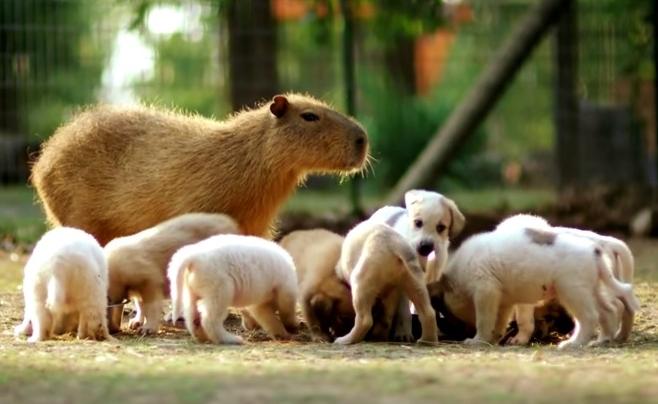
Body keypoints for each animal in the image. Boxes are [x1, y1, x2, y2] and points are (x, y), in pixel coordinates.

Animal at [101, 211, 237, 334]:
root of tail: (232, 226)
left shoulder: (150, 281)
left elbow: (150, 306)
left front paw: (147, 329)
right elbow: (140, 305)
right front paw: (135, 323)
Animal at [167, 234, 298, 344]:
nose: (250, 327)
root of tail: (194, 258)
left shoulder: (259, 303)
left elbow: (267, 317)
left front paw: (280, 333)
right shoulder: (286, 289)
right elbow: (287, 310)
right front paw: (290, 327)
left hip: (190, 293)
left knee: (192, 318)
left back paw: (202, 336)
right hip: (220, 290)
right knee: (209, 320)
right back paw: (231, 339)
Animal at [434, 223, 640, 348]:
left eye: (444, 312)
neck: (459, 275)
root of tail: (595, 249)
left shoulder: (486, 291)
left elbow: (485, 320)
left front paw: (478, 340)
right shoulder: (503, 300)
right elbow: (499, 321)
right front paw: (494, 338)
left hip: (572, 291)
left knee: (590, 317)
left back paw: (573, 344)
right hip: (591, 290)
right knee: (608, 311)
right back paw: (602, 340)